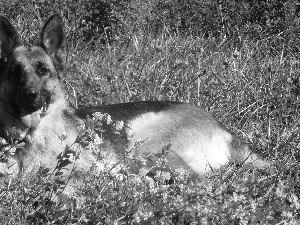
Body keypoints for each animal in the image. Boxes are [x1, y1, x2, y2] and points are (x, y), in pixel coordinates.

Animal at [0, 14, 268, 181]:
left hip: (144, 144)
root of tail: (221, 128)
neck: (31, 140)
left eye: (43, 70)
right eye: (14, 72)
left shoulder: (78, 170)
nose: (30, 95)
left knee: (197, 181)